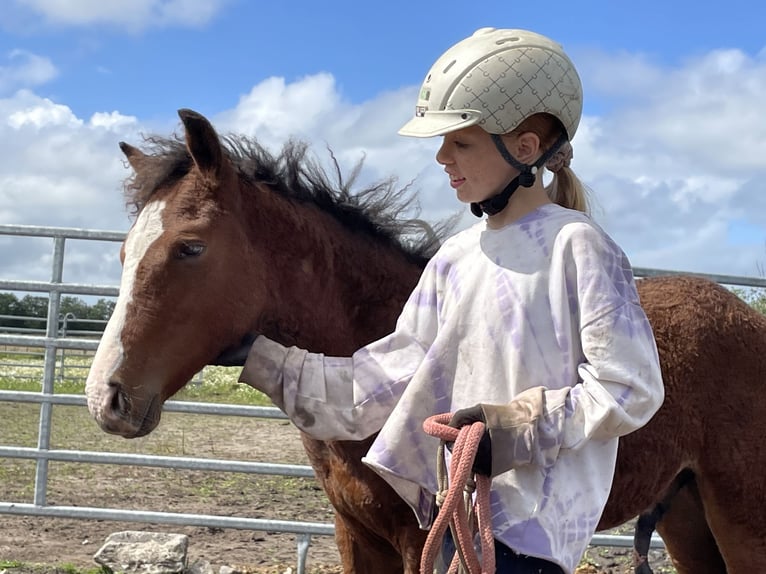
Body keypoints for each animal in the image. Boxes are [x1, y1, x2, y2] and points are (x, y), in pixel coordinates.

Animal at [87, 109, 766, 574]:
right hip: (688, 517)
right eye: (122, 254)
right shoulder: (357, 537)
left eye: (190, 247)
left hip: (742, 518)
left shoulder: (423, 541)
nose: (106, 398)